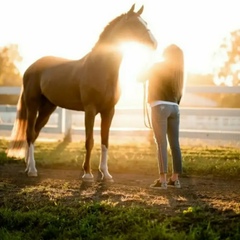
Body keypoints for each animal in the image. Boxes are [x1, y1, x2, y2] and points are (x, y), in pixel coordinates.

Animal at [6, 3, 158, 182]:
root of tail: (31, 67)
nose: (154, 44)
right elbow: (89, 141)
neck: (101, 68)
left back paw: (28, 166)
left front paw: (105, 174)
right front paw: (87, 173)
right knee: (29, 134)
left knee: (35, 134)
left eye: (145, 23)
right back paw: (32, 170)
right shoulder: (90, 110)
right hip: (32, 105)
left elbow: (105, 141)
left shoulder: (109, 111)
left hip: (47, 109)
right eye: (135, 24)